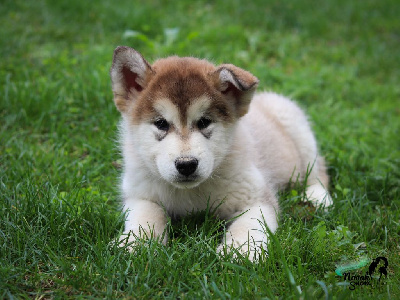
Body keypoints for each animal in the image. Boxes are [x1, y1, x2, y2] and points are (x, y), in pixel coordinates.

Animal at [110, 45, 332, 260]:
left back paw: (318, 197)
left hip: (298, 130)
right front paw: (135, 244)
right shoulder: (139, 194)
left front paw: (240, 251)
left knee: (317, 169)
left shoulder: (256, 197)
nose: (186, 164)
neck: (191, 195)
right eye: (161, 123)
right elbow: (145, 217)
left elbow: (249, 225)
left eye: (204, 122)